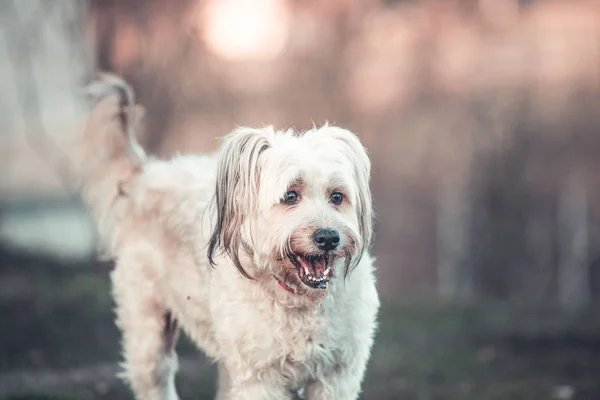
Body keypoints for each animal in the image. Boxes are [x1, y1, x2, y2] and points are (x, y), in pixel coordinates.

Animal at [76, 76, 380, 400]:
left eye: (337, 196)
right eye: (290, 195)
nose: (328, 237)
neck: (299, 299)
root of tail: (146, 173)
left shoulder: (337, 376)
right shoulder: (260, 379)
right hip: (148, 330)